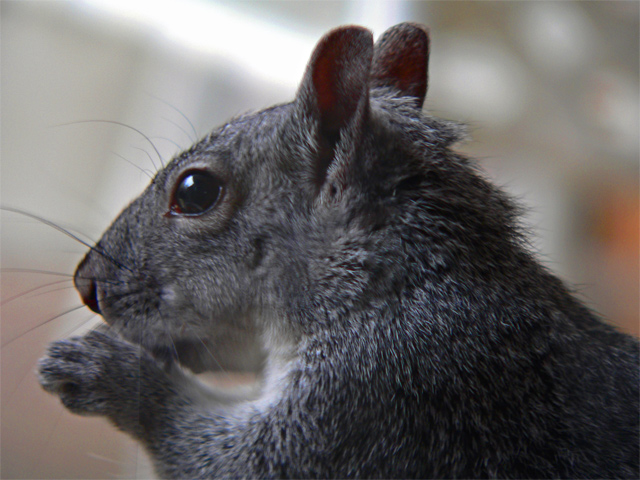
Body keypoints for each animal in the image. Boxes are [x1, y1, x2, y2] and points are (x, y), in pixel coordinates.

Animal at [37, 23, 636, 480]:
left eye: (194, 192)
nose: (86, 285)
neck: (396, 285)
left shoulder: (379, 398)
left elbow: (235, 463)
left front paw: (109, 370)